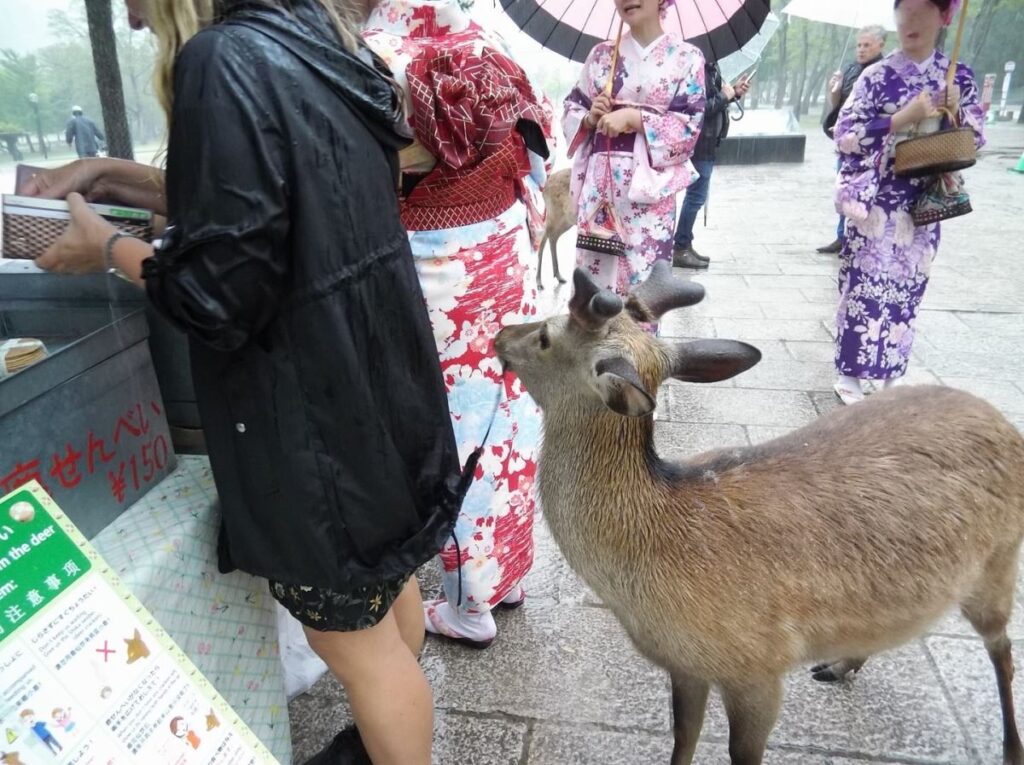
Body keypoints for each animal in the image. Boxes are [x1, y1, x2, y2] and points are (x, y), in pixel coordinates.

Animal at [495, 263, 1024, 765]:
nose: (500, 333)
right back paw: (840, 665)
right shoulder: (686, 665)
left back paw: (1011, 747)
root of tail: (1003, 421)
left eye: (546, 337)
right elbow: (683, 737)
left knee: (1002, 648)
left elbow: (740, 752)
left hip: (999, 561)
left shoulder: (759, 668)